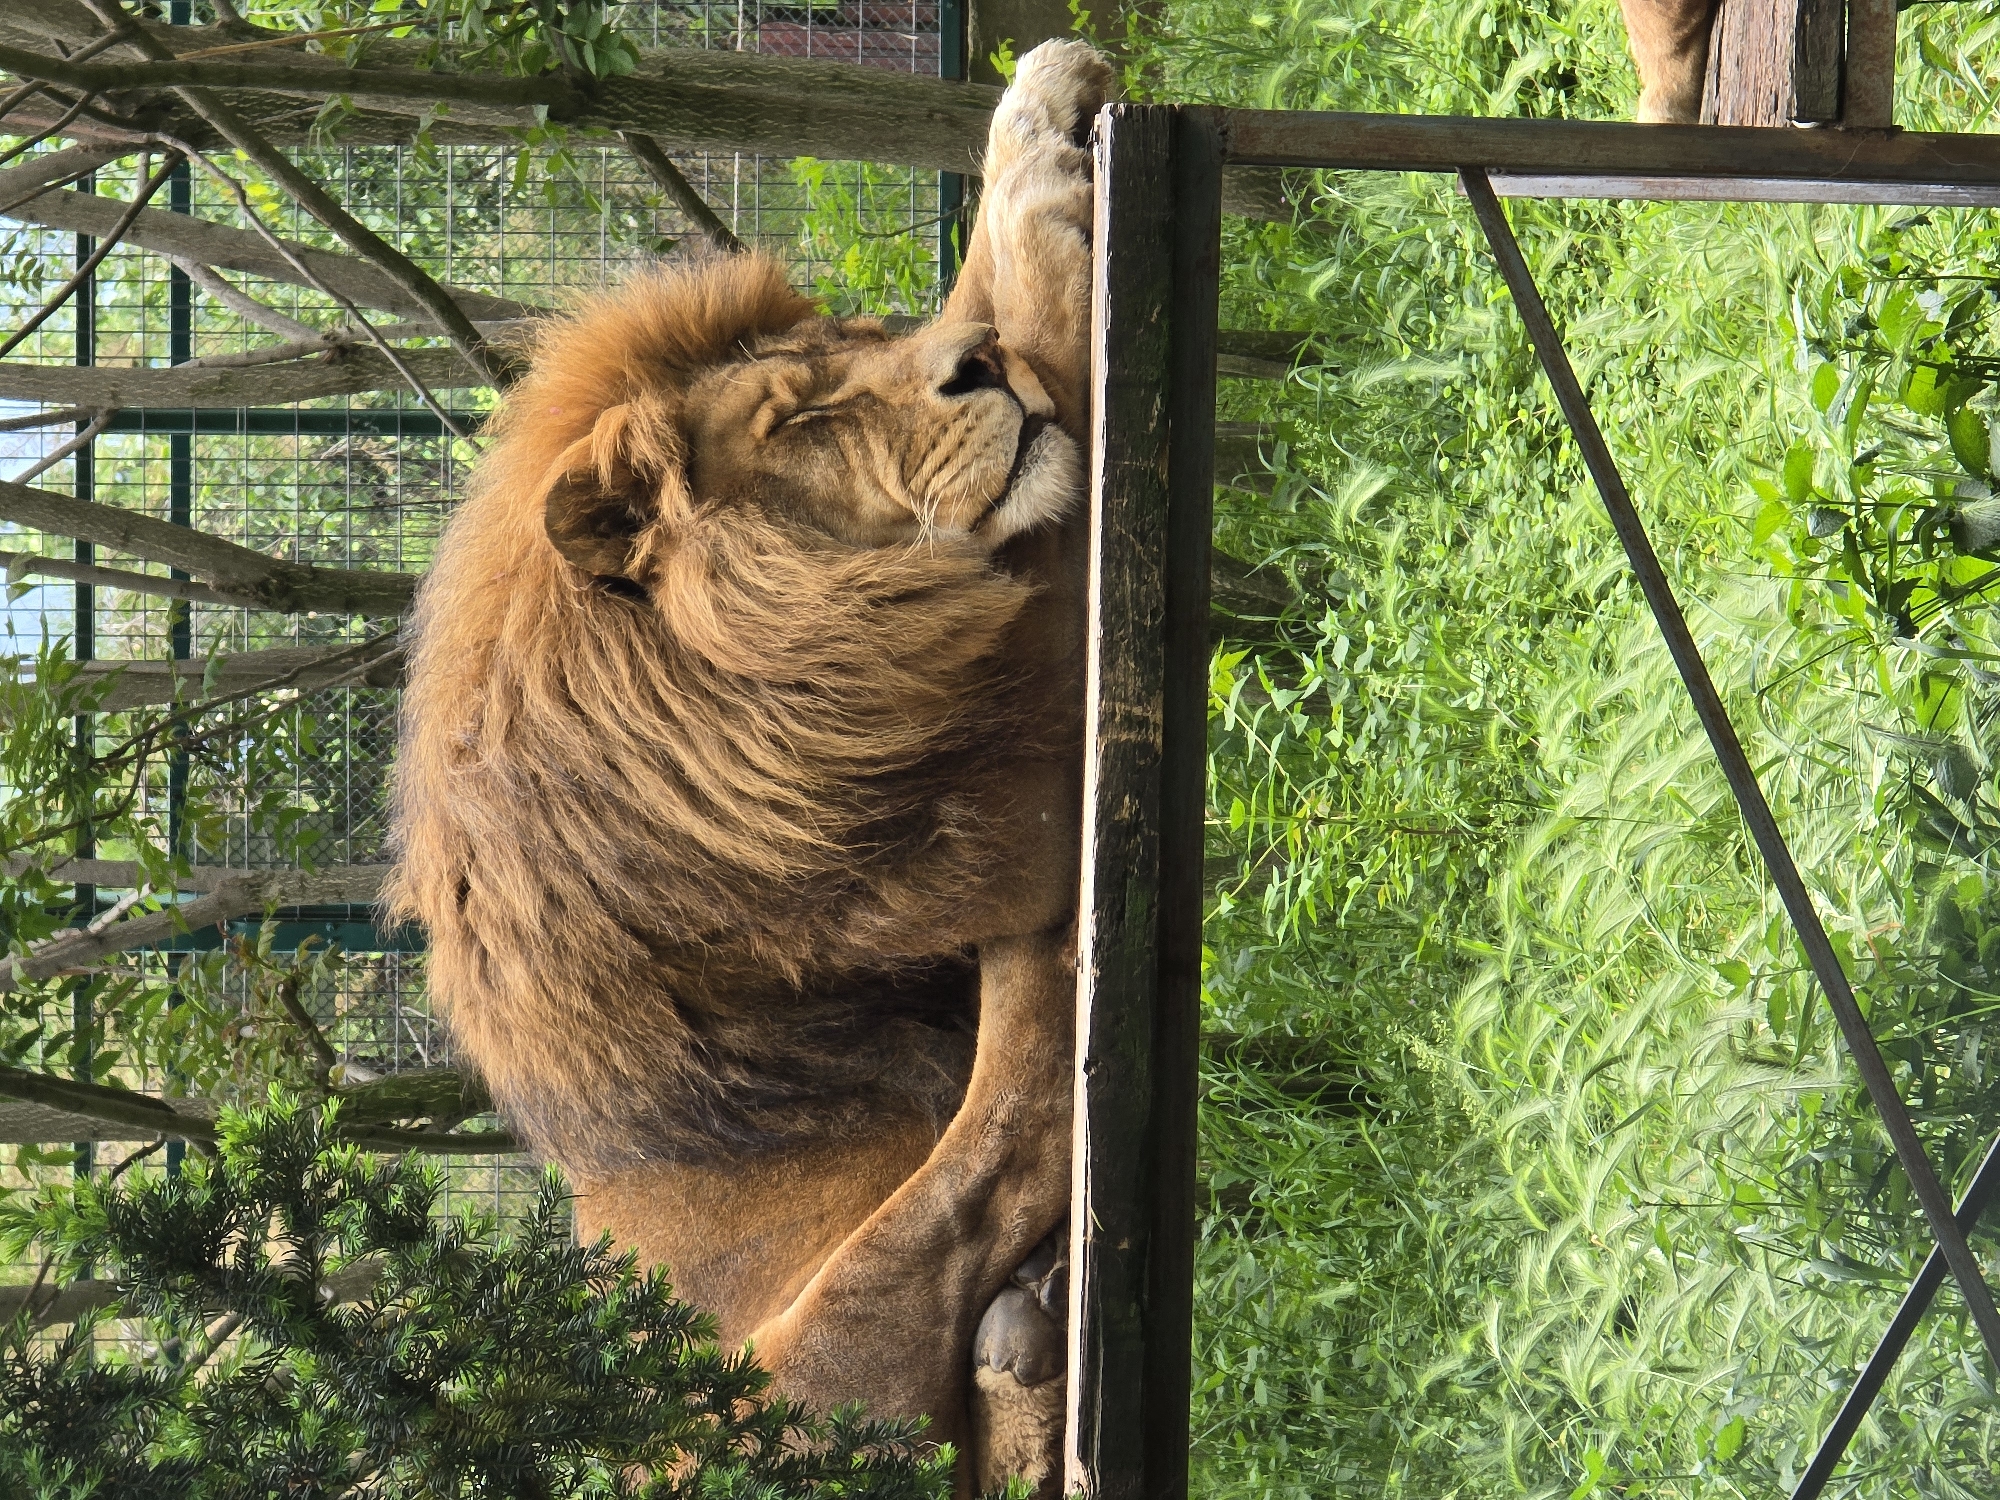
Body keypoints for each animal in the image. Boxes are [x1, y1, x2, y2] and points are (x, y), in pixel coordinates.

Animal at [387, 39, 1115, 1495]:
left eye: (859, 342)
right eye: (802, 420)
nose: (975, 370)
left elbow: (996, 302)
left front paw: (1040, 96)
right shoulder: (999, 723)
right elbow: (1044, 315)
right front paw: (1038, 156)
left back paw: (1030, 1342)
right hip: (797, 1372)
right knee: (995, 1150)